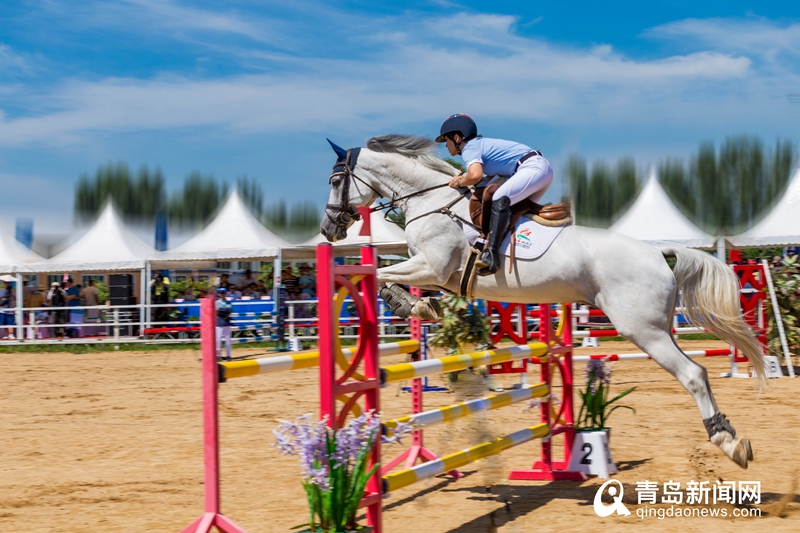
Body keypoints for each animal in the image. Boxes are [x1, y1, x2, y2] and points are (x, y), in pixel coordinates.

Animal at [322, 135, 764, 468]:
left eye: (334, 179)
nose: (328, 230)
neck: (429, 202)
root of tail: (658, 252)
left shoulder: (432, 265)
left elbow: (383, 276)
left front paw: (408, 304)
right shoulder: (443, 277)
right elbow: (399, 280)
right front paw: (421, 307)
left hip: (642, 330)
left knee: (692, 374)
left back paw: (728, 442)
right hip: (655, 327)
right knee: (695, 371)